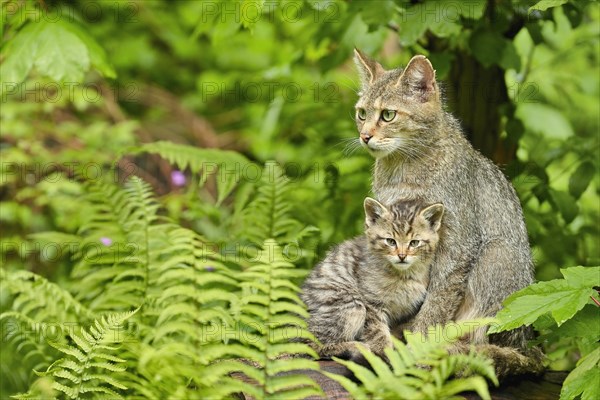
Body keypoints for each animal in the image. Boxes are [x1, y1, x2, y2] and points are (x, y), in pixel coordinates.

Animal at [302, 197, 442, 360]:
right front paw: (385, 351)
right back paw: (353, 347)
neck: (403, 275)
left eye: (414, 243)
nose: (402, 256)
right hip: (349, 302)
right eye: (390, 241)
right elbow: (377, 330)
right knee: (309, 346)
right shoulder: (371, 302)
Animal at [352, 50, 544, 378]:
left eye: (388, 115)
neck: (403, 168)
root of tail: (526, 345)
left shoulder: (457, 240)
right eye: (362, 113)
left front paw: (420, 342)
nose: (364, 136)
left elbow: (438, 300)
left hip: (497, 253)